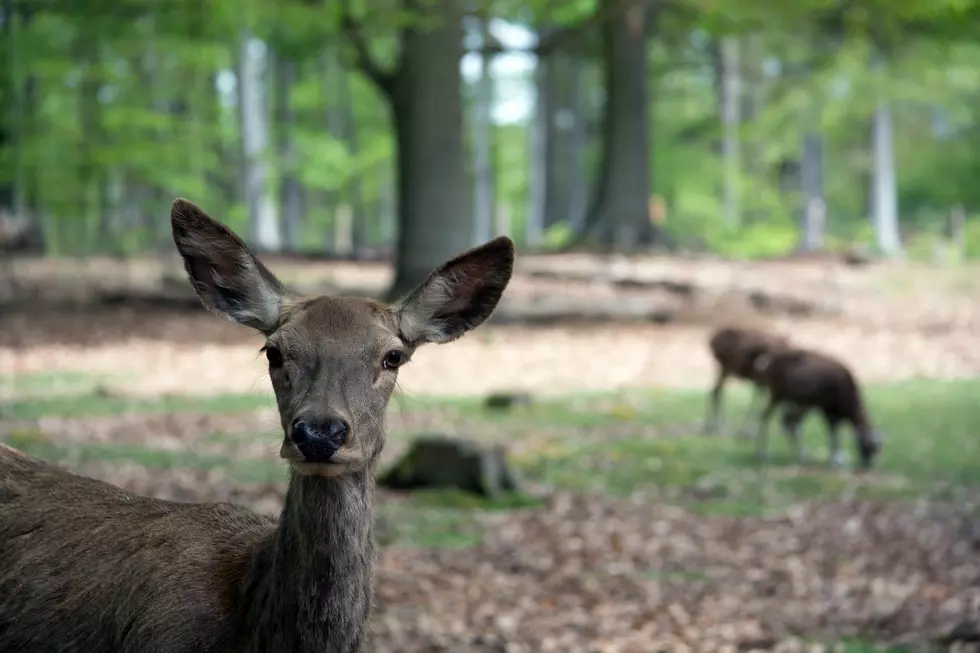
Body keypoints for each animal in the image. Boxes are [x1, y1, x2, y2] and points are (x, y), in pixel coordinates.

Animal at [756, 346, 884, 468]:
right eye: (867, 446)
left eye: (877, 449)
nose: (869, 465)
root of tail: (767, 363)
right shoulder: (826, 410)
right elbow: (832, 433)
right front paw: (834, 460)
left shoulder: (835, 413)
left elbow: (836, 433)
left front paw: (838, 459)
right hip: (777, 396)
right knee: (765, 417)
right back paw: (763, 453)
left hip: (796, 404)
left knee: (790, 423)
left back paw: (801, 456)